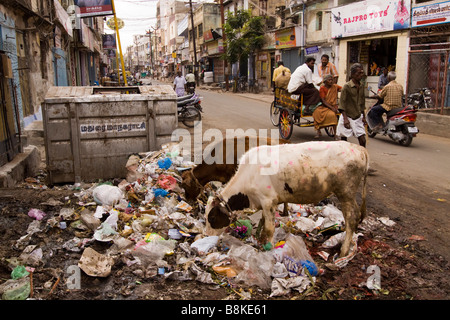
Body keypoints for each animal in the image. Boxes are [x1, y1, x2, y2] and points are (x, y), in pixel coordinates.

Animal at [206, 141, 368, 256]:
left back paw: (344, 251)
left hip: (346, 193)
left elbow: (270, 228)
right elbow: (263, 222)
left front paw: (269, 248)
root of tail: (360, 149)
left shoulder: (268, 201)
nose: (206, 236)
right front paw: (259, 238)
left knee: (351, 218)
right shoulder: (266, 203)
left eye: (212, 218)